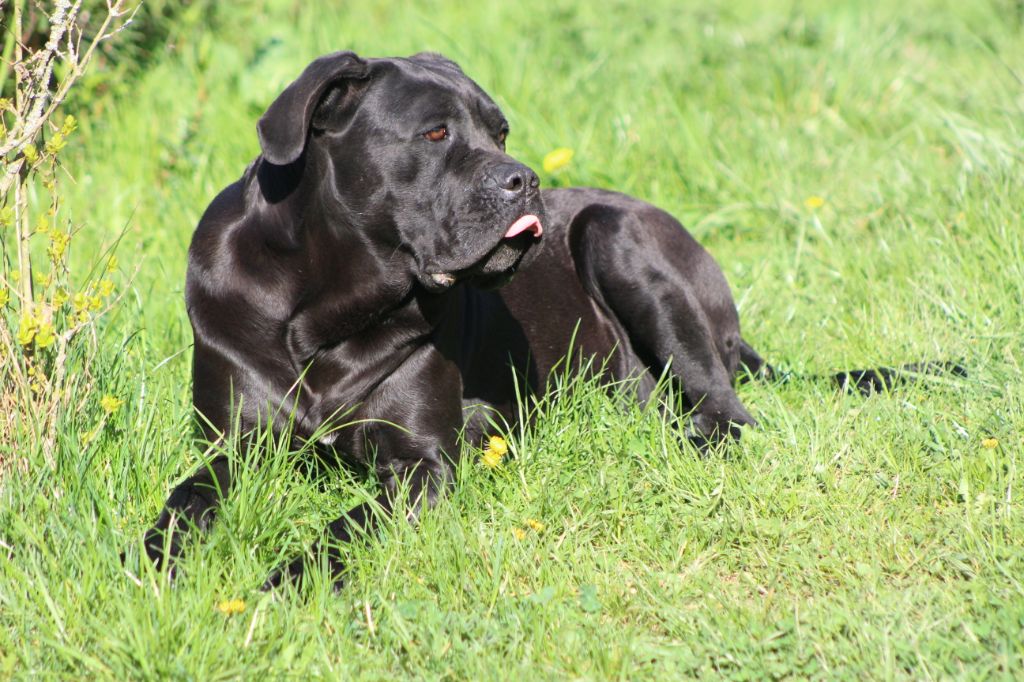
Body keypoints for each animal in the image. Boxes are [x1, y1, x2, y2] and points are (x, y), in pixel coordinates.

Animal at [142, 51, 815, 585]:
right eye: (435, 133)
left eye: (501, 132)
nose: (526, 179)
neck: (326, 308)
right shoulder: (236, 444)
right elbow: (186, 499)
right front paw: (153, 561)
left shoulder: (422, 464)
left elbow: (348, 526)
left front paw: (288, 579)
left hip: (618, 234)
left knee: (725, 408)